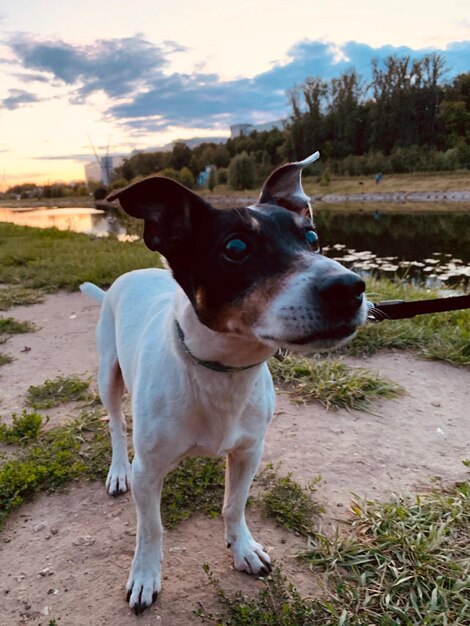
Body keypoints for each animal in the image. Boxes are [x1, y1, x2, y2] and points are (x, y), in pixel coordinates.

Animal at [80, 150, 368, 608]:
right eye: (235, 247)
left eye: (312, 239)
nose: (350, 288)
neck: (222, 372)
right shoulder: (149, 472)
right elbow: (151, 528)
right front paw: (145, 574)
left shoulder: (250, 451)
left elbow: (234, 505)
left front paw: (243, 549)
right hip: (109, 375)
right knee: (115, 425)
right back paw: (116, 470)